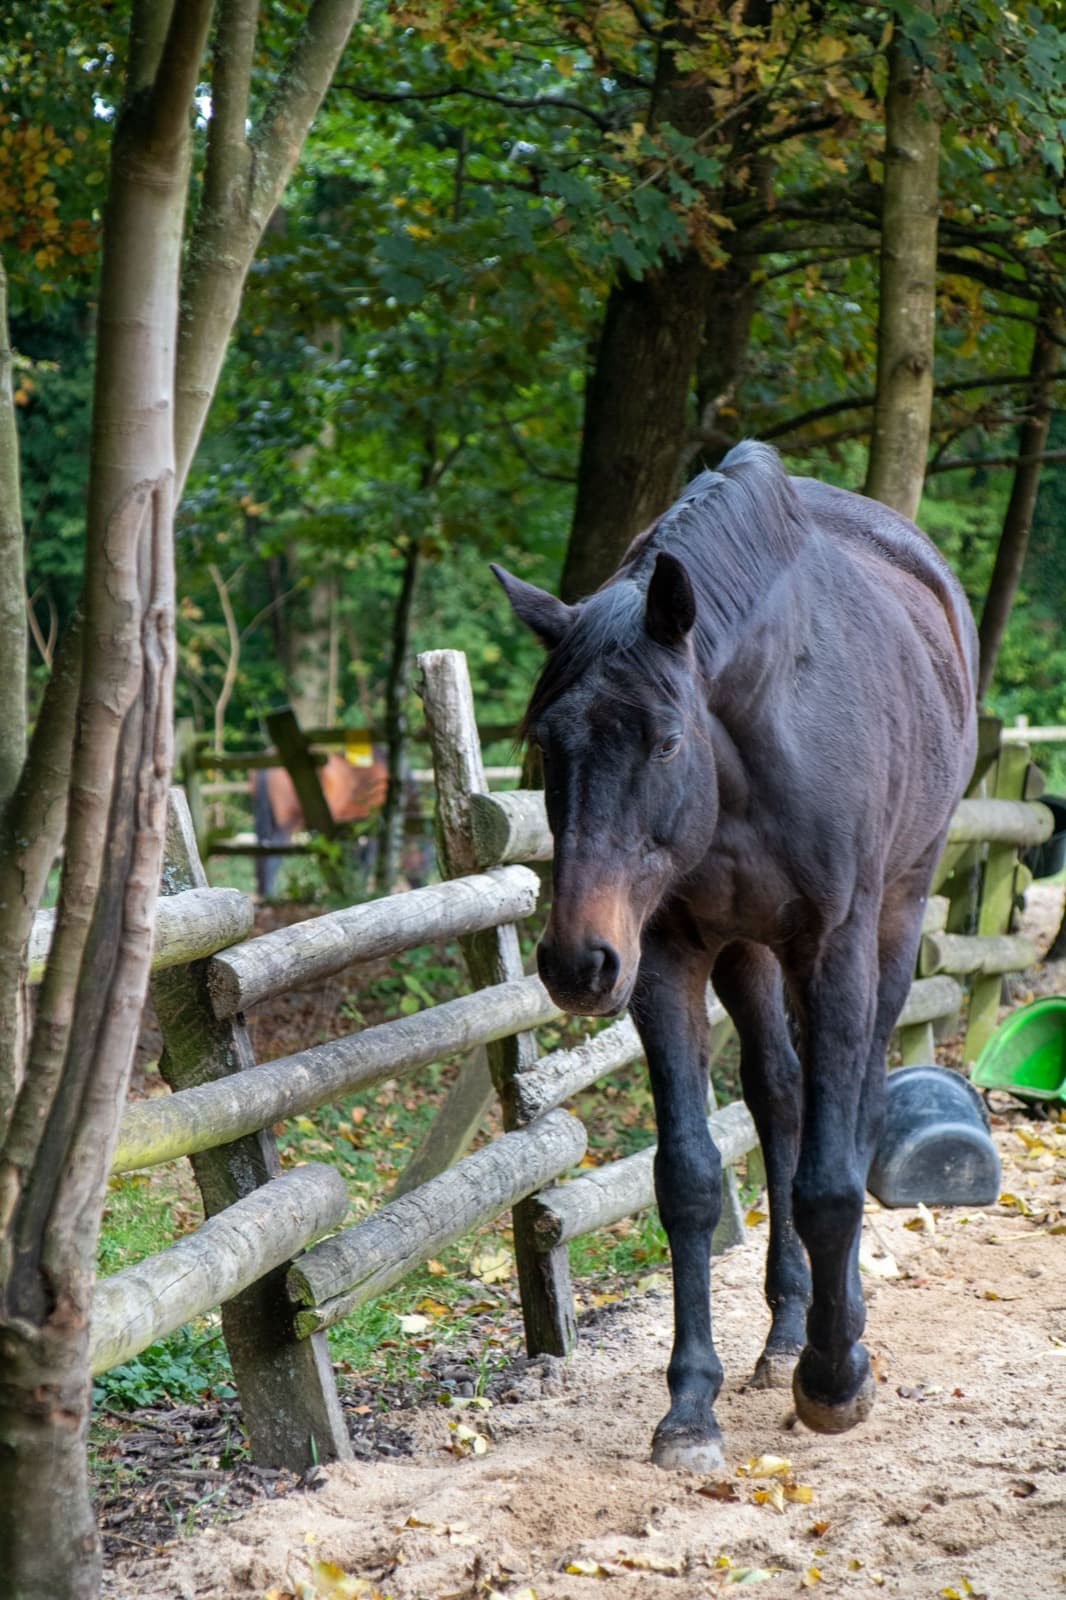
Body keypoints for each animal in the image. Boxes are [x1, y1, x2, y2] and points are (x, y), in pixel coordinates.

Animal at [492, 440, 977, 1471]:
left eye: (667, 740)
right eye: (546, 742)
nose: (574, 962)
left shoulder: (835, 946)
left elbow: (832, 1178)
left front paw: (837, 1381)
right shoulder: (668, 955)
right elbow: (689, 1178)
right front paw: (690, 1404)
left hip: (895, 916)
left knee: (857, 1100)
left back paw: (836, 1332)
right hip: (746, 952)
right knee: (781, 1094)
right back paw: (788, 1329)